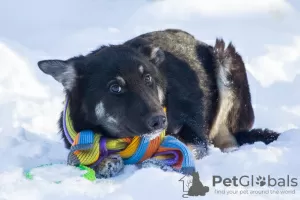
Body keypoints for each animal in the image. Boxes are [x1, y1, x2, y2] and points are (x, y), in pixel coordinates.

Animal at [37, 28, 278, 177]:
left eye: (148, 79)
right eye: (115, 88)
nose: (160, 121)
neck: (121, 140)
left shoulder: (196, 136)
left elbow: (188, 147)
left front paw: (157, 162)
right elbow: (74, 159)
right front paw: (103, 162)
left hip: (226, 59)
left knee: (229, 139)